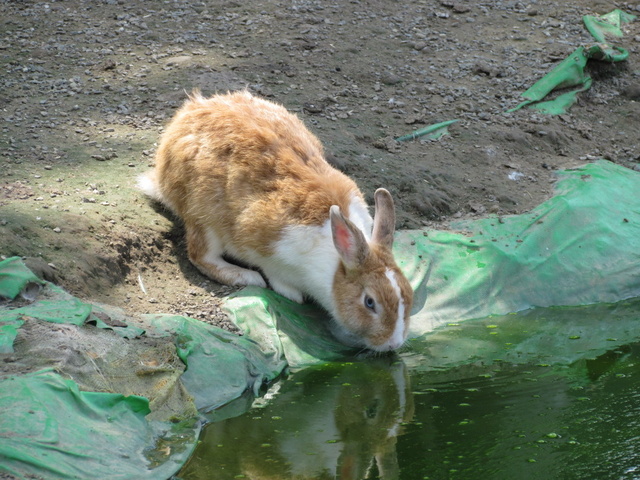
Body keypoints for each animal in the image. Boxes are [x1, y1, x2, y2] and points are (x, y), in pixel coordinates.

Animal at [138, 90, 412, 352]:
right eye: (370, 302)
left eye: (408, 295)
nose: (393, 344)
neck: (335, 262)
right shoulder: (265, 245)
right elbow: (275, 275)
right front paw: (291, 294)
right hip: (204, 216)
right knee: (201, 256)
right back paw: (245, 277)